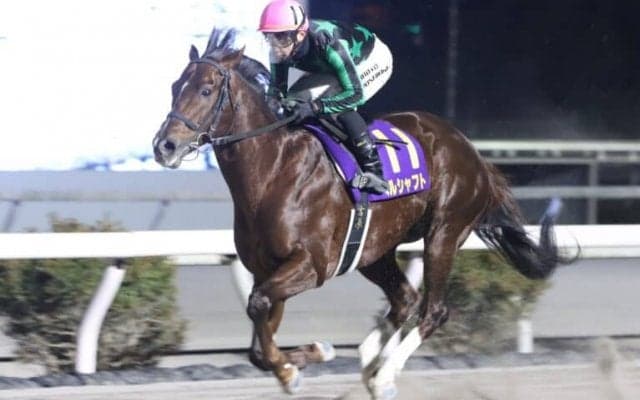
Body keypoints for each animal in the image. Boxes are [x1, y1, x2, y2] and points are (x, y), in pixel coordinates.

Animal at [152, 31, 565, 399]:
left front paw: (294, 368)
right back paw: (369, 361)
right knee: (405, 300)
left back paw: (384, 376)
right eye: (174, 87)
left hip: (444, 234)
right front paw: (304, 360)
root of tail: (471, 151)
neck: (275, 171)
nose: (164, 146)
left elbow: (259, 307)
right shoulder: (268, 269)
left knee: (433, 309)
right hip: (374, 250)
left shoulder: (312, 265)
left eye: (206, 90)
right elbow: (257, 340)